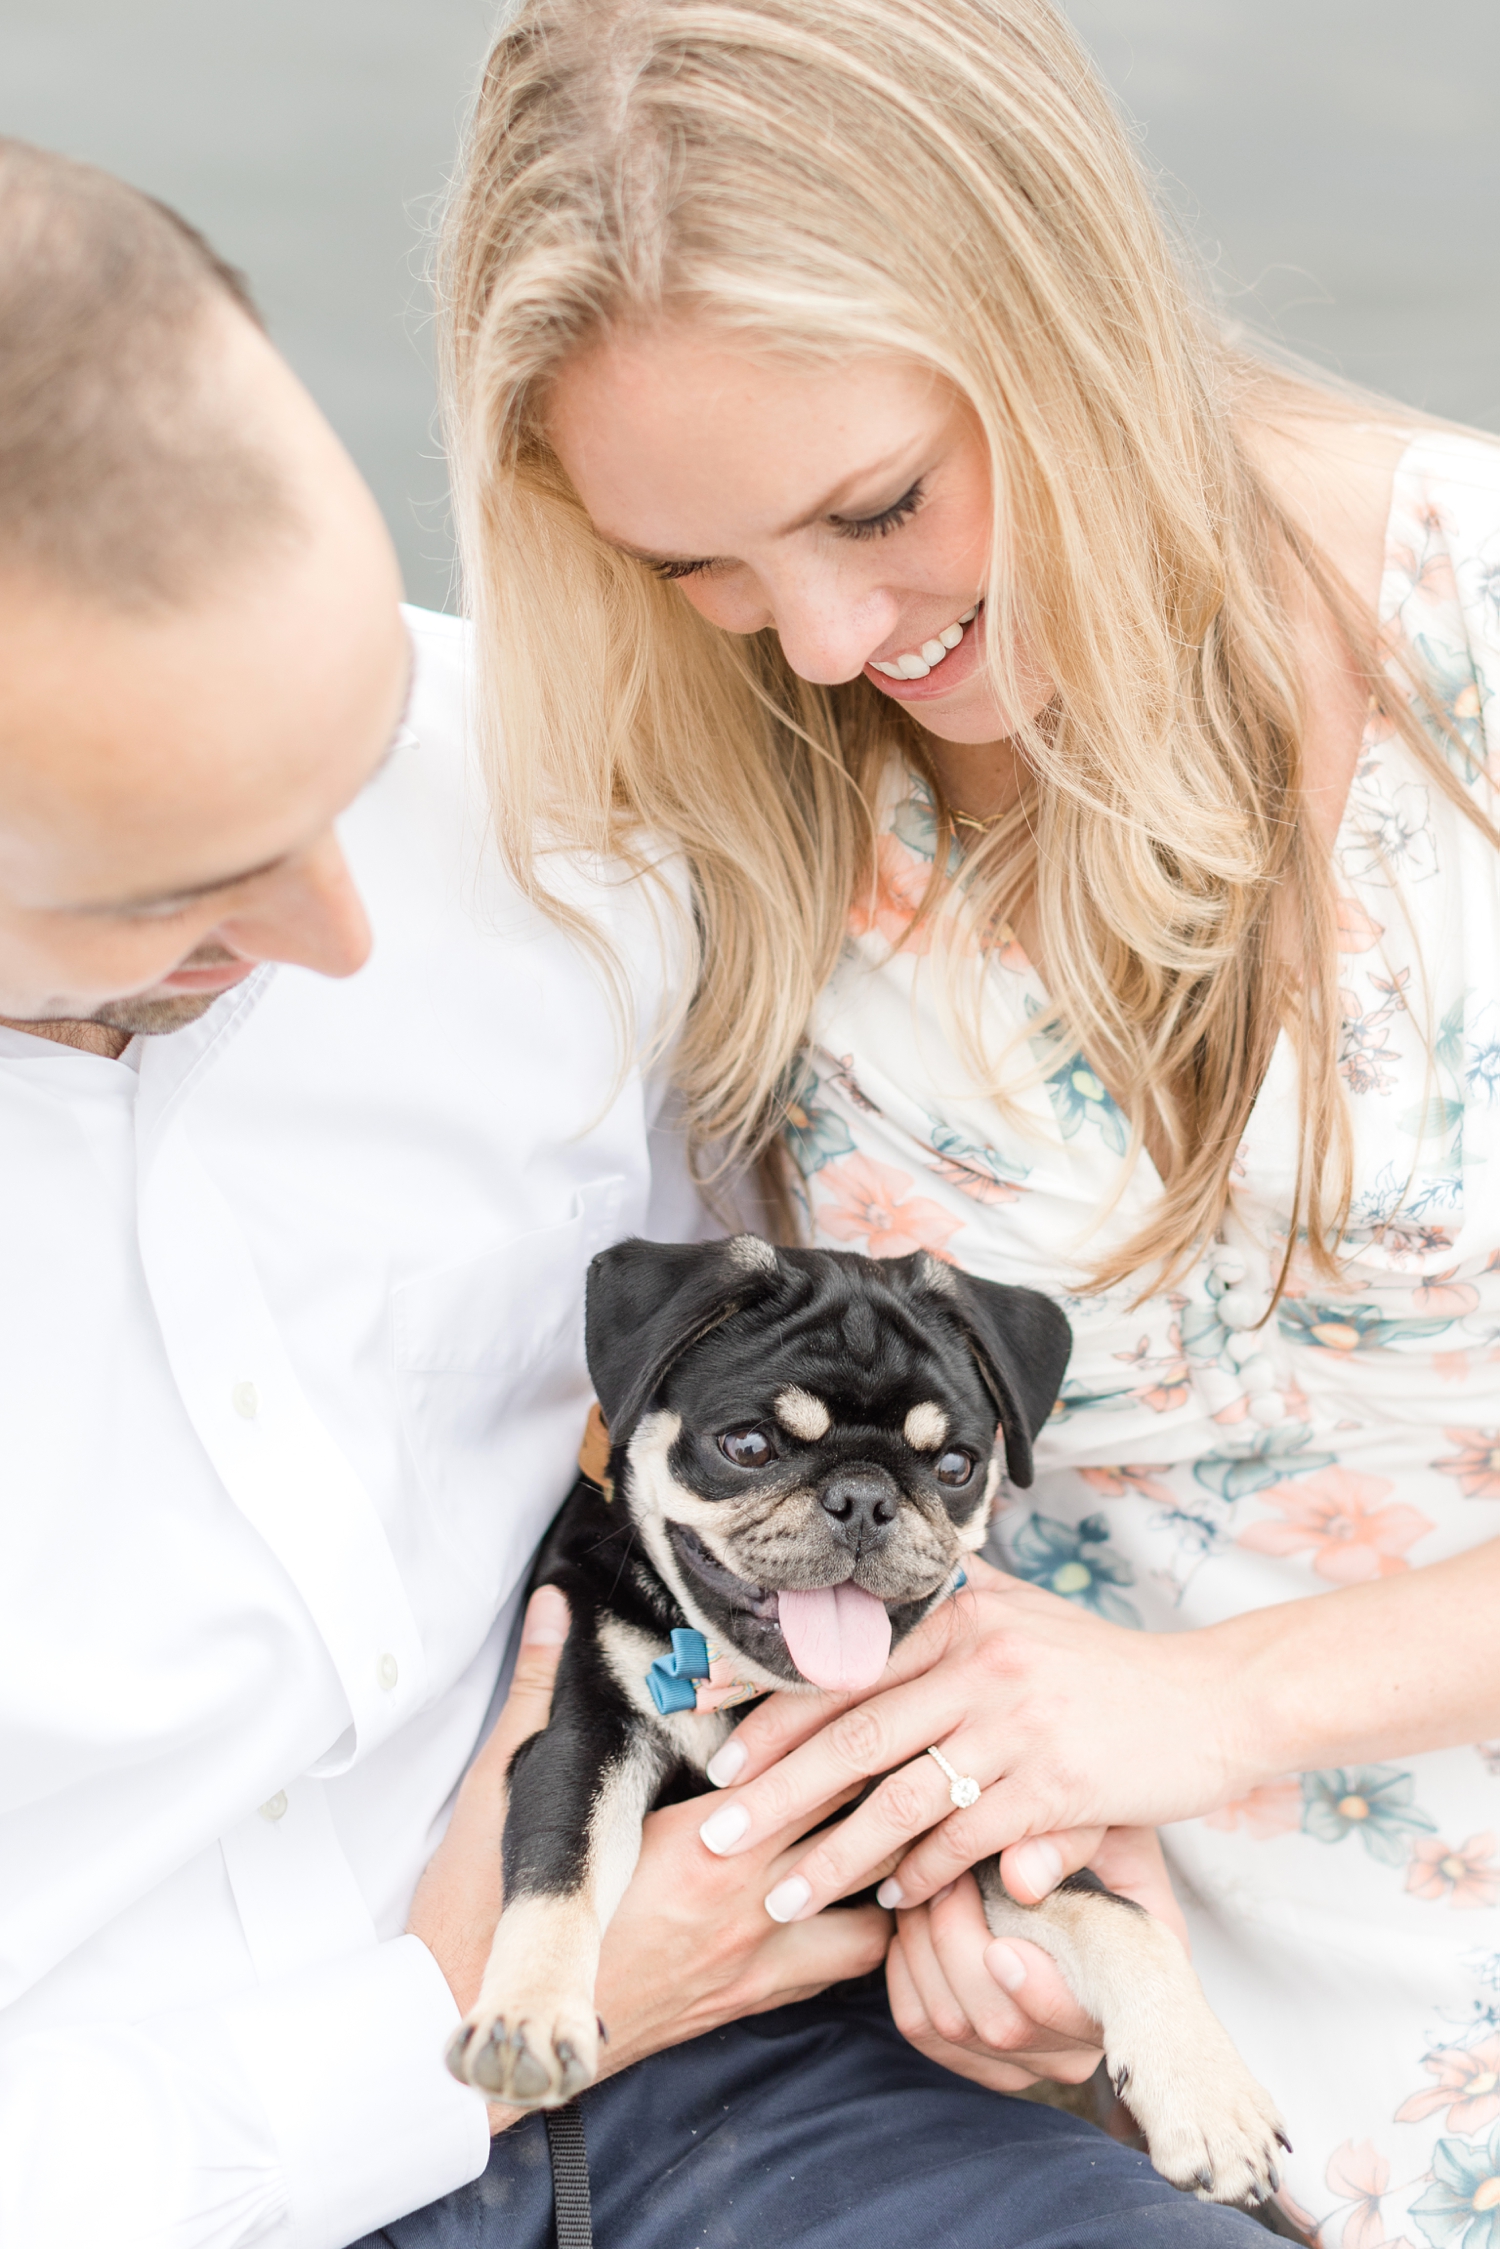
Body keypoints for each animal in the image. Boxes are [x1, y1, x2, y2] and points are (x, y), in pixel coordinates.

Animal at [445, 1241, 1295, 2204]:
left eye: (957, 1466)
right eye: (747, 1446)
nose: (863, 1496)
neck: (749, 1688)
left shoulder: (949, 1816)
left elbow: (1113, 1913)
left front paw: (1207, 2092)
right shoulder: (582, 1738)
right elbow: (561, 1873)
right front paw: (527, 2017)